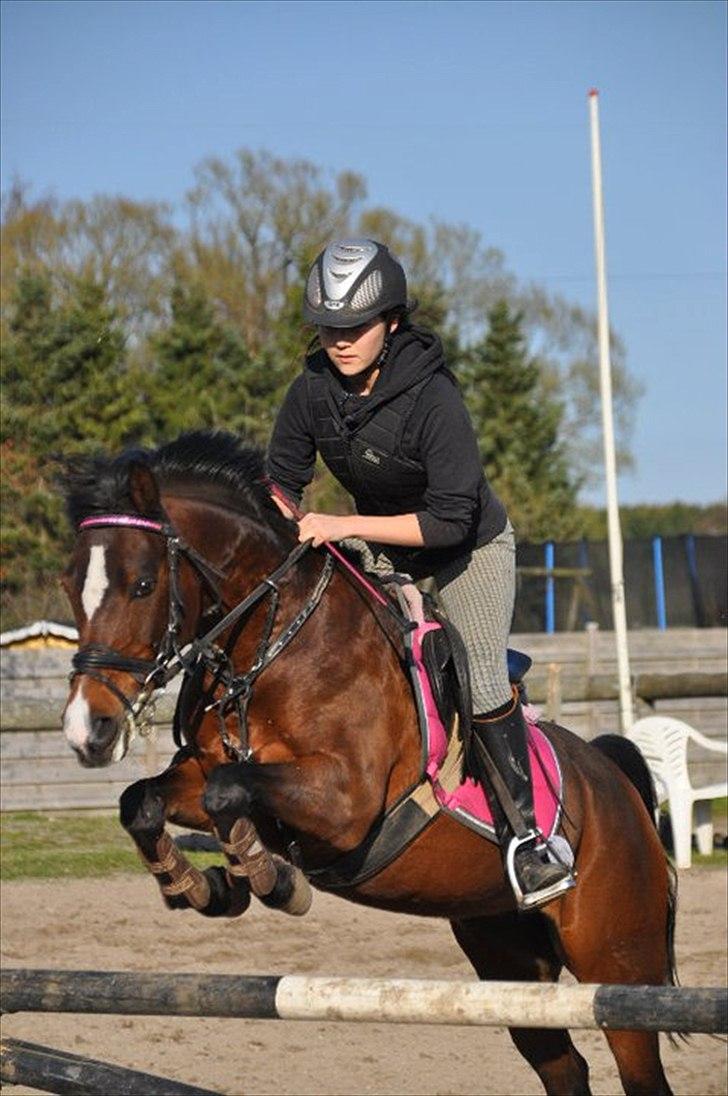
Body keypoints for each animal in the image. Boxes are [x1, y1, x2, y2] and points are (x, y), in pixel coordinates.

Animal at [60, 430, 677, 1096]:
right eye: (70, 586)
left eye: (143, 585)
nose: (86, 729)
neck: (273, 645)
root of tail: (617, 784)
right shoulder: (206, 773)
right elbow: (148, 800)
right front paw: (204, 885)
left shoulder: (345, 804)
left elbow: (230, 790)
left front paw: (272, 878)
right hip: (507, 954)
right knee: (561, 1064)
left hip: (616, 960)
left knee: (637, 1062)